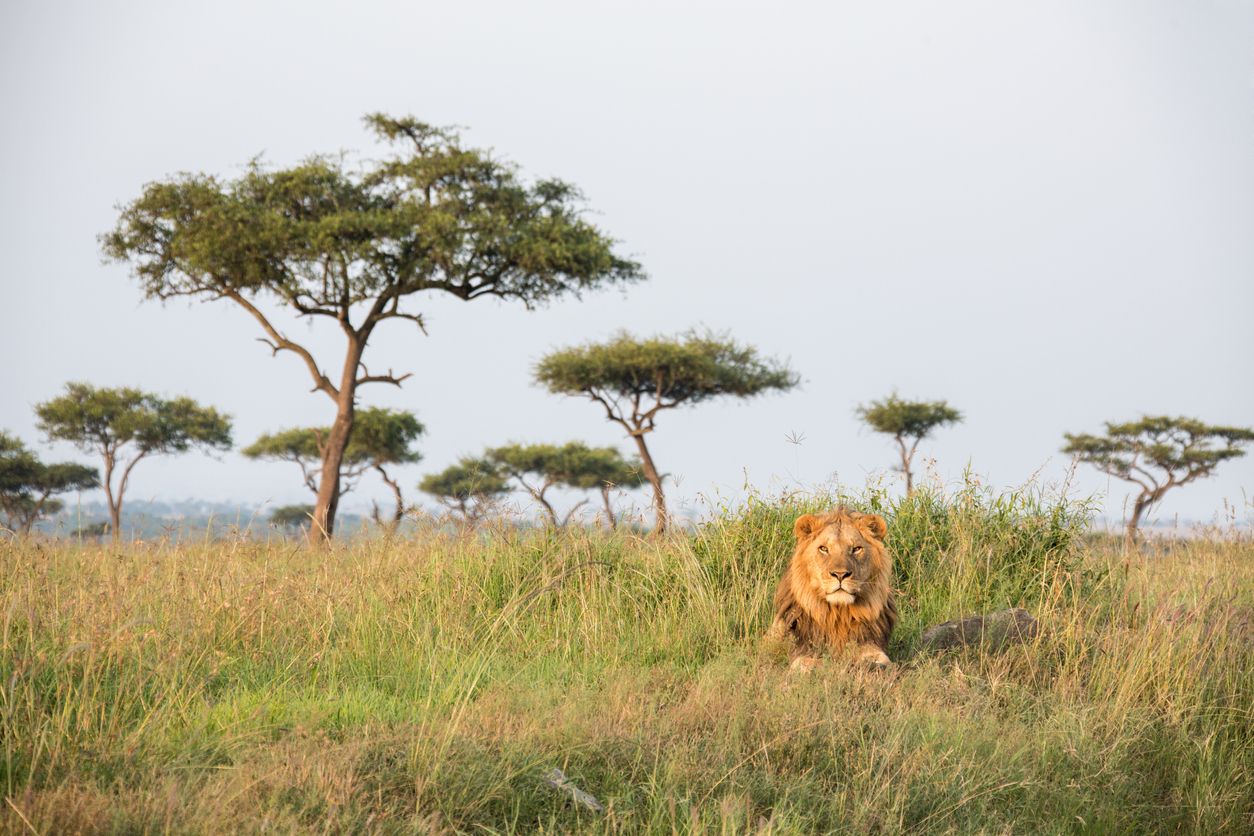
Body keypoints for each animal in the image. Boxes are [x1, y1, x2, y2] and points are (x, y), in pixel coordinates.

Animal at [764, 508, 897, 672]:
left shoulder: (871, 645)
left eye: (856, 549)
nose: (840, 574)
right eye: (824, 549)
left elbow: (884, 663)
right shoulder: (800, 653)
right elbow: (814, 664)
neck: (839, 615)